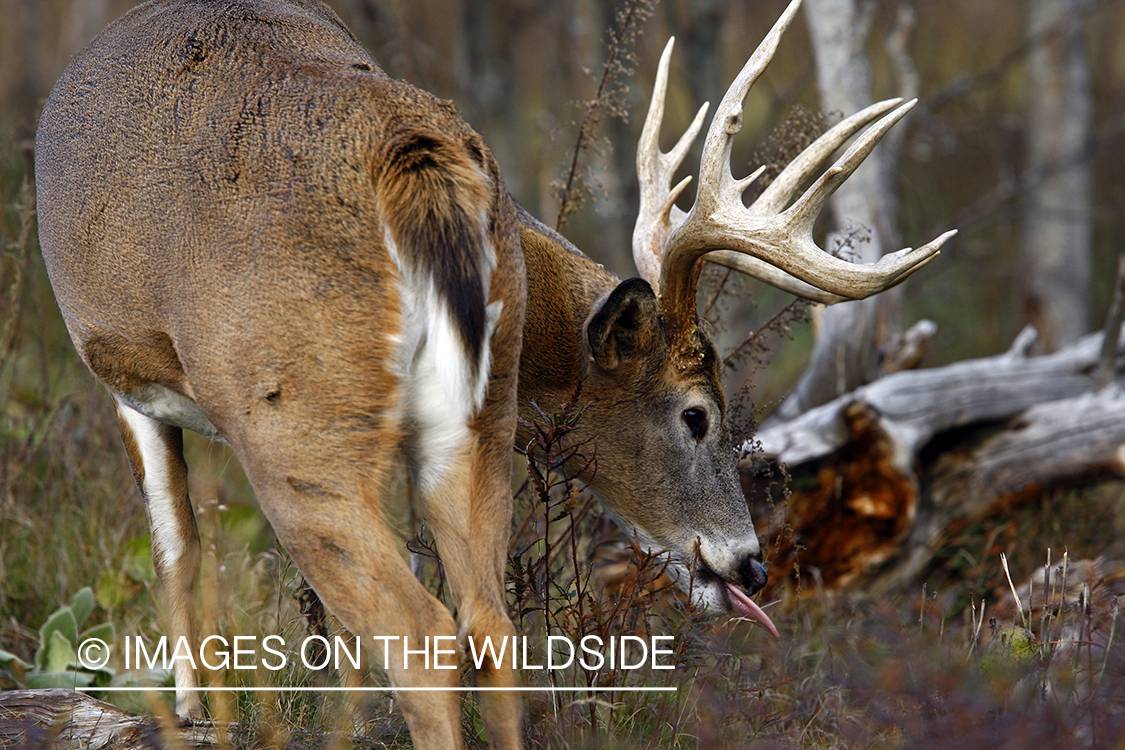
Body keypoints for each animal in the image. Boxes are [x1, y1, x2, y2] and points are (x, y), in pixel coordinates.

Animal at [32, 0, 949, 746]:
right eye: (697, 413)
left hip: (293, 418)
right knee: (488, 623)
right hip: (477, 417)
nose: (749, 565)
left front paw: (191, 711)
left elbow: (178, 546)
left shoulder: (123, 370)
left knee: (420, 630)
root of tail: (412, 157)